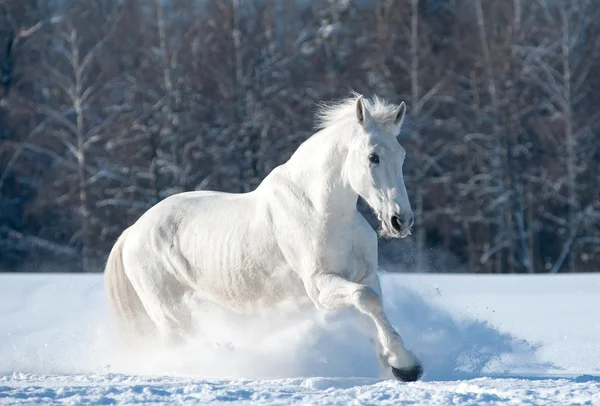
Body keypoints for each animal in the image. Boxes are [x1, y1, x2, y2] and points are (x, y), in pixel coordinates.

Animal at [104, 94, 422, 380]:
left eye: (402, 156)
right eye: (373, 157)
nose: (400, 221)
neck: (323, 211)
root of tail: (132, 233)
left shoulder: (364, 275)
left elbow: (371, 308)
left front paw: (396, 363)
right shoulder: (319, 286)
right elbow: (367, 299)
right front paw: (405, 366)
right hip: (171, 316)